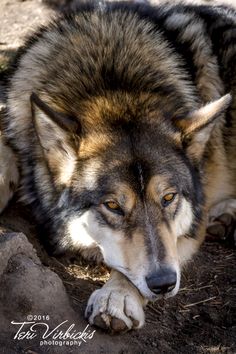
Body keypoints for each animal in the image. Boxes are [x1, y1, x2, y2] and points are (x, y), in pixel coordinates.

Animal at [0, 0, 235, 332]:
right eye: (112, 205)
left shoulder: (188, 229)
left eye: (168, 198)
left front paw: (117, 296)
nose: (163, 283)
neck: (112, 84)